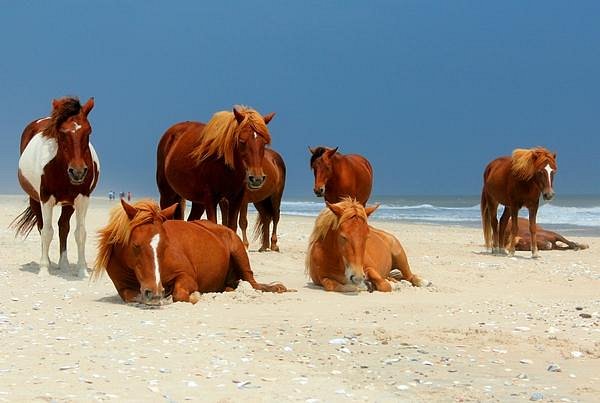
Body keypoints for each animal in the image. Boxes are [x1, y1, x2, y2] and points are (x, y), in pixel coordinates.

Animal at [12, 97, 99, 278]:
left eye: (88, 131)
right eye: (62, 132)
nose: (78, 172)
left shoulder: (82, 198)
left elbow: (80, 233)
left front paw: (82, 270)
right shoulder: (46, 199)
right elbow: (47, 231)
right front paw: (44, 269)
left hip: (68, 203)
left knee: (63, 227)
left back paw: (64, 264)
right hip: (35, 200)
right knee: (42, 226)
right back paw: (48, 262)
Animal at [92, 199, 290, 306]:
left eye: (165, 245)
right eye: (135, 245)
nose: (154, 292)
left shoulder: (186, 275)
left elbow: (179, 294)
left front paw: (193, 295)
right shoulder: (123, 288)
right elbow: (132, 295)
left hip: (239, 253)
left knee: (252, 283)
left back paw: (277, 288)